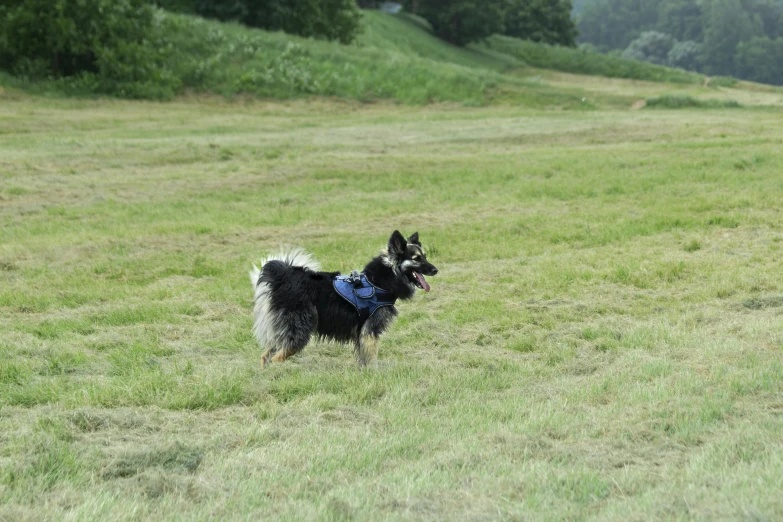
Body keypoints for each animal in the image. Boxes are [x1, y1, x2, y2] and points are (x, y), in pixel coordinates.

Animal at [250, 230, 438, 368]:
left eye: (425, 256)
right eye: (416, 259)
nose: (436, 270)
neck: (379, 281)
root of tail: (282, 278)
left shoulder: (362, 333)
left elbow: (363, 357)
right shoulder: (370, 330)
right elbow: (371, 357)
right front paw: (374, 373)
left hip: (283, 331)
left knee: (265, 356)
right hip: (298, 331)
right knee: (276, 358)